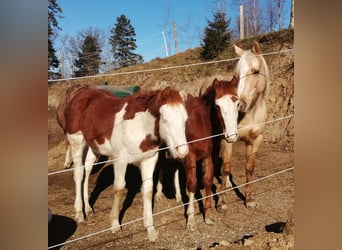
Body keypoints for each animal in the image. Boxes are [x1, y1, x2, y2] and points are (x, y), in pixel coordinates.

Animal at [62, 85, 188, 240]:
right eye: (165, 119)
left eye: (185, 120)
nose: (182, 151)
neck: (140, 125)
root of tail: (81, 92)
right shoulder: (120, 159)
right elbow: (119, 188)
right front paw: (115, 224)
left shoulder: (149, 159)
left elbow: (148, 190)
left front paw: (150, 229)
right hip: (77, 142)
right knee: (79, 173)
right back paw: (79, 212)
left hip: (94, 147)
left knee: (87, 171)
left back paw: (88, 208)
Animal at [157, 76, 239, 230]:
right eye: (217, 106)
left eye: (237, 103)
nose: (231, 136)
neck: (202, 123)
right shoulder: (190, 157)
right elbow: (192, 184)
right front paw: (191, 219)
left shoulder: (209, 156)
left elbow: (207, 181)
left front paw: (208, 215)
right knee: (160, 166)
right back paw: (158, 193)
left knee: (174, 167)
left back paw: (178, 196)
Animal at [219, 40, 270, 209]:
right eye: (236, 75)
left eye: (255, 71)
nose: (239, 104)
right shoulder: (227, 140)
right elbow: (226, 167)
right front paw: (221, 202)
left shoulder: (255, 140)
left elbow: (249, 167)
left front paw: (249, 199)